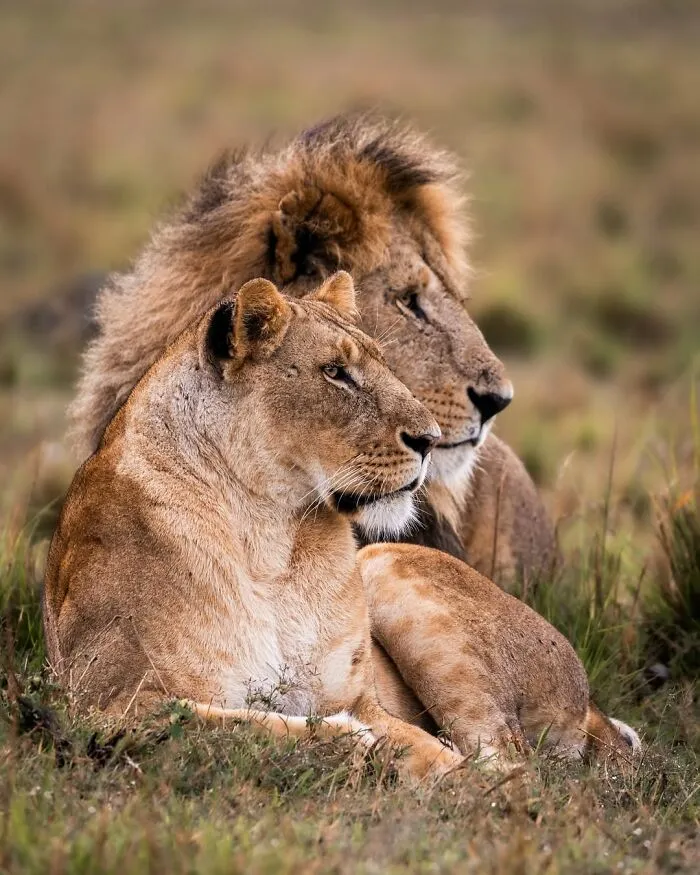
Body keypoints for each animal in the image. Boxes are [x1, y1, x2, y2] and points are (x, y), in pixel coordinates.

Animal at [43, 272, 462, 781]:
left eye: (385, 364)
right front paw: (349, 740)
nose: (431, 440)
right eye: (335, 372)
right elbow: (244, 726)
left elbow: (431, 750)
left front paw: (482, 782)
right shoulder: (103, 704)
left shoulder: (360, 699)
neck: (274, 537)